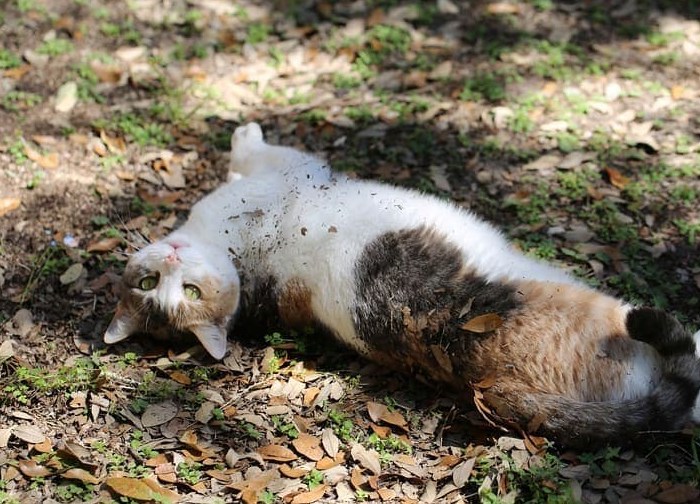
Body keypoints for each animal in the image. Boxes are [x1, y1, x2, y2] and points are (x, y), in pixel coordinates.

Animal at [104, 122, 700, 444]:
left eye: (171, 287)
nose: (173, 262)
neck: (243, 269)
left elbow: (241, 158)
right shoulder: (289, 168)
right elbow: (252, 149)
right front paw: (244, 131)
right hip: (620, 316)